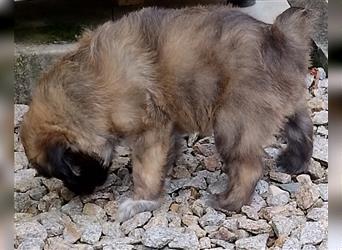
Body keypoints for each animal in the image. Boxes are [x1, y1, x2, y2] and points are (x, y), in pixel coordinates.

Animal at [20, 5, 314, 221]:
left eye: (67, 172)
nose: (80, 193)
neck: (87, 90)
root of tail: (278, 39)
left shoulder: (148, 129)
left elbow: (145, 170)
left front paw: (140, 200)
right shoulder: (166, 125)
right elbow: (165, 153)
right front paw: (167, 169)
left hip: (233, 123)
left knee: (249, 167)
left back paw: (228, 202)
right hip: (289, 104)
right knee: (303, 131)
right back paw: (294, 163)